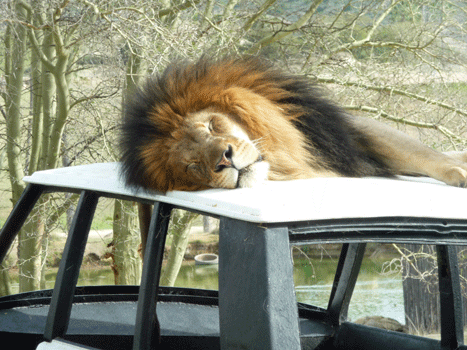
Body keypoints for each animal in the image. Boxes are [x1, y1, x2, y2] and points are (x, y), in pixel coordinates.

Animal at [119, 55, 467, 191]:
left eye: (211, 126)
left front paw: (459, 172)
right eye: (192, 166)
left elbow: (425, 156)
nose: (224, 160)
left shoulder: (348, 135)